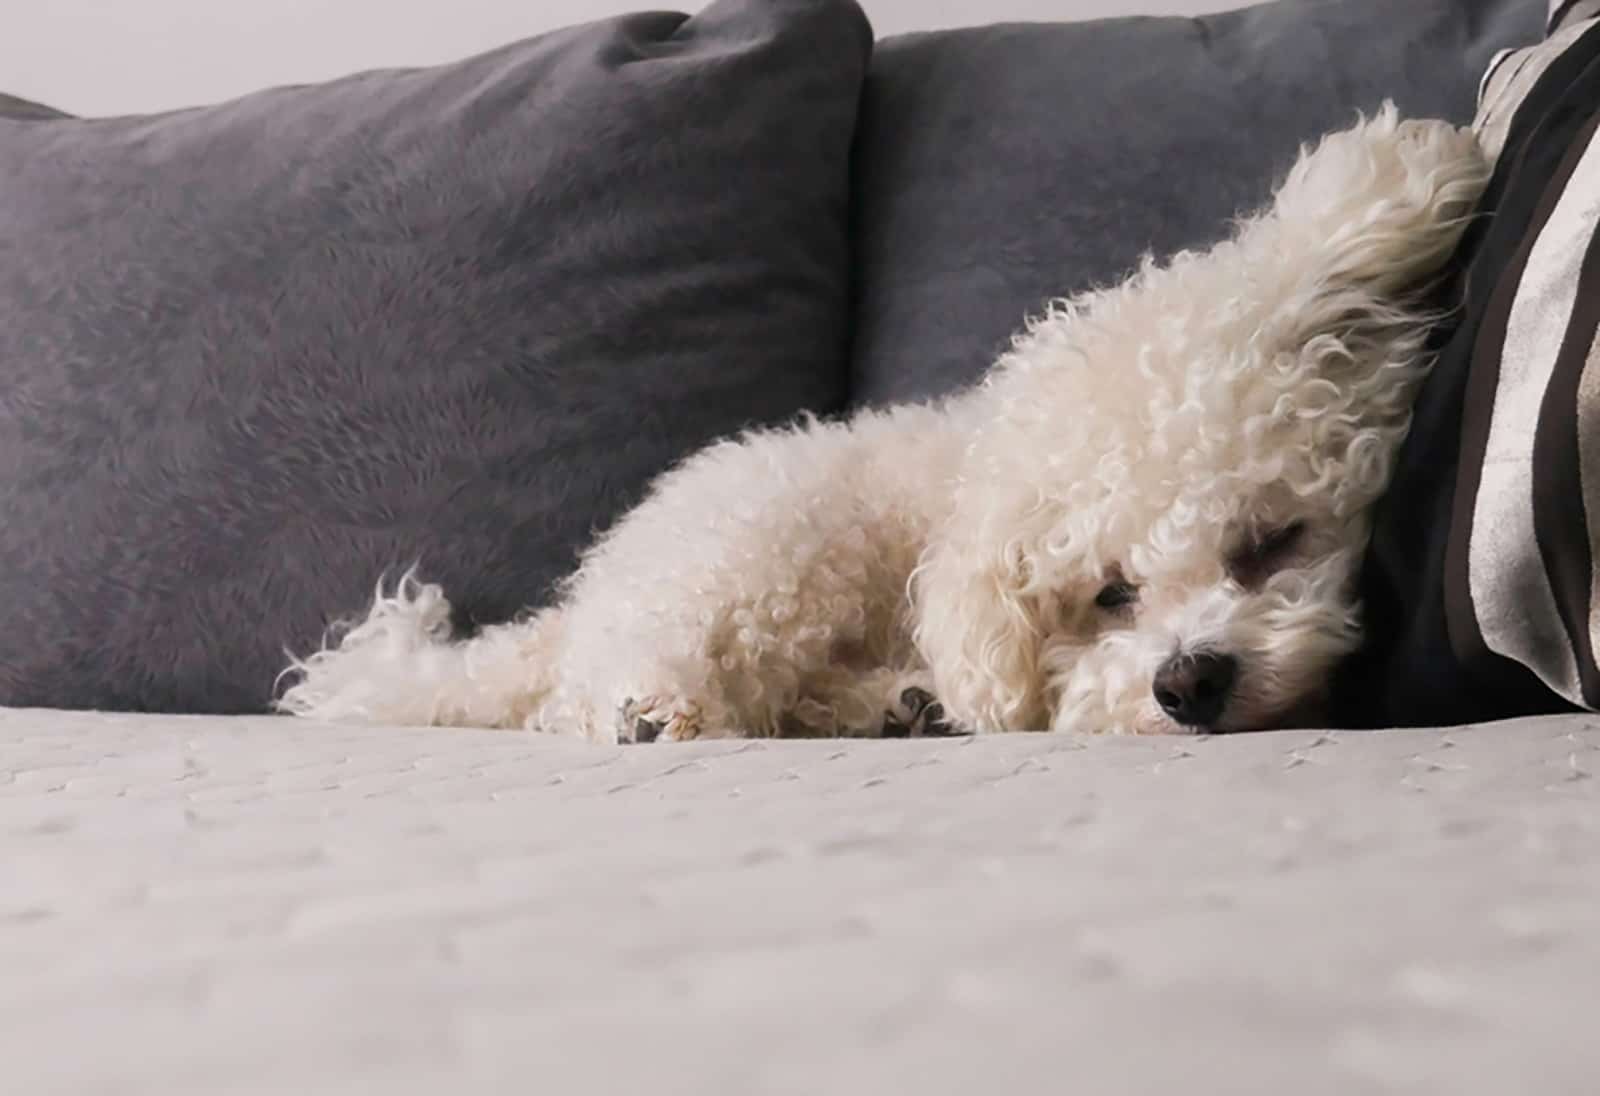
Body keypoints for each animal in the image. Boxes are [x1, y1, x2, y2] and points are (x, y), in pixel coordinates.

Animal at [281, 107, 1491, 742]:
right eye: (1110, 593)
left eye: (1272, 541)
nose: (1187, 684)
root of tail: (581, 598)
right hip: (766, 554)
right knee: (599, 693)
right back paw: (658, 707)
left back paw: (891, 704)